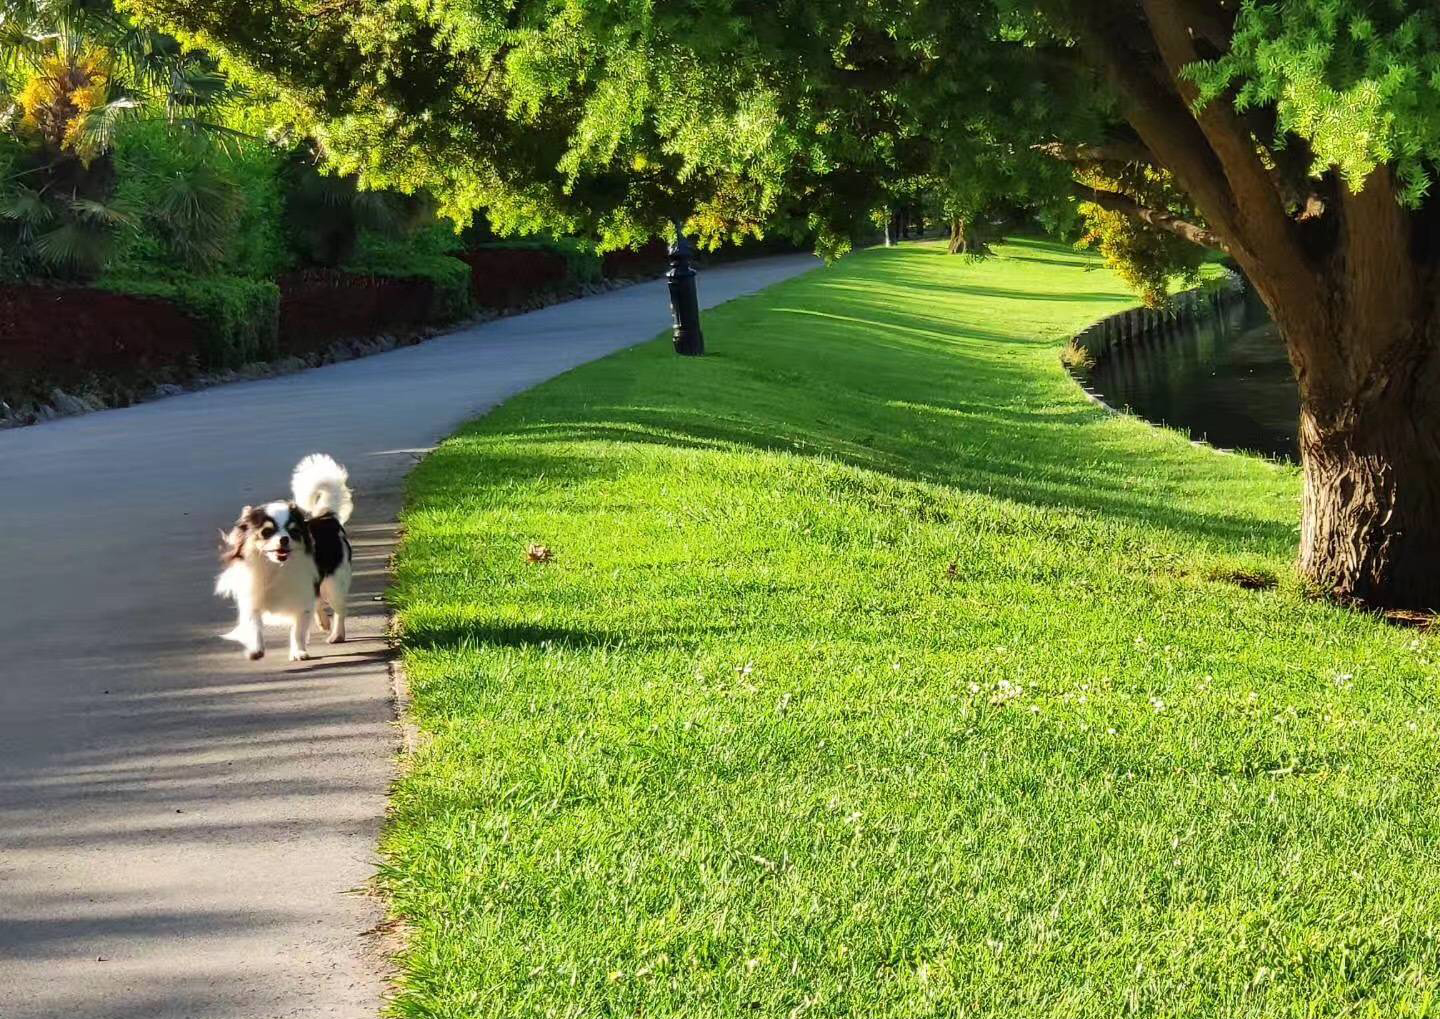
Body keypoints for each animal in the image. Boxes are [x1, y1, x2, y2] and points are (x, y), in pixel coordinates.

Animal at [217, 454, 355, 662]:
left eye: (293, 532)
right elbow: (254, 625)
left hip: (334, 585)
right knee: (319, 602)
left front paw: (298, 652)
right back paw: (324, 622)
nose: (284, 539)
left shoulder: (301, 599)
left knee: (339, 610)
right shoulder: (252, 600)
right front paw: (256, 649)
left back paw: (337, 635)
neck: (275, 567)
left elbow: (298, 630)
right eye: (266, 532)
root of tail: (327, 518)